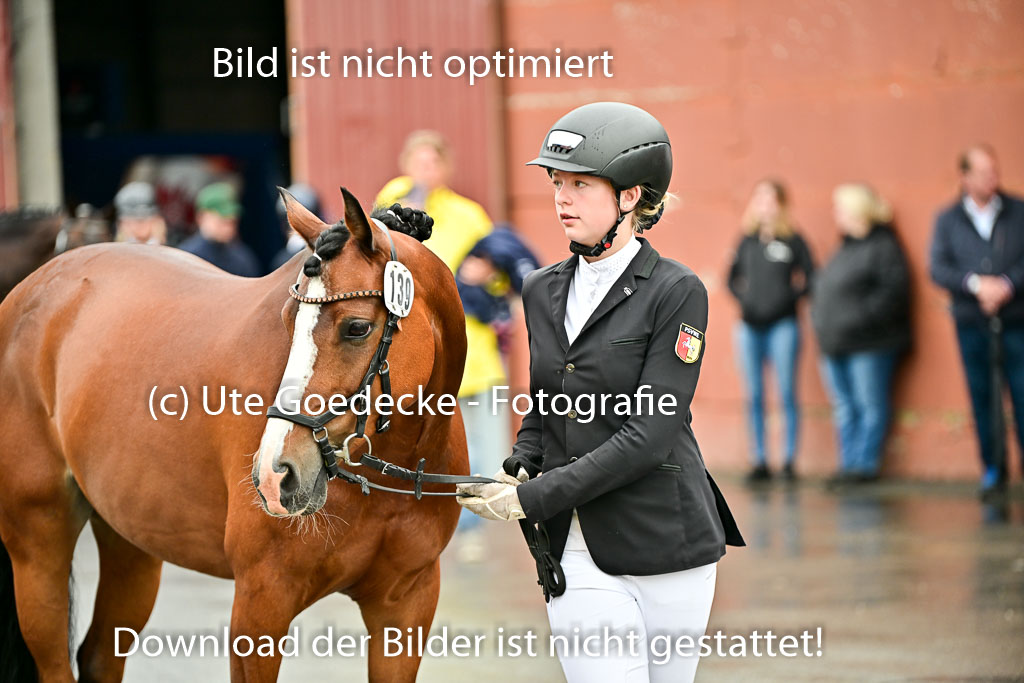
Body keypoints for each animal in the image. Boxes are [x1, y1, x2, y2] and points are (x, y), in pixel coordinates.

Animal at [0, 188, 469, 681]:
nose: (276, 474)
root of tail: (31, 291)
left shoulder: (405, 606)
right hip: (38, 543)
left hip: (131, 541)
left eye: (356, 327)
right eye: (287, 320)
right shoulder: (261, 602)